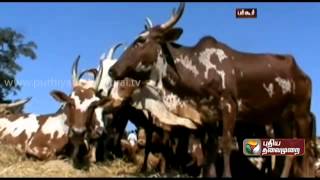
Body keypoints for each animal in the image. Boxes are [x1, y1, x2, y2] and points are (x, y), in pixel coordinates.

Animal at [107, 2, 316, 177]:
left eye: (141, 41)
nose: (112, 70)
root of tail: (302, 73)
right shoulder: (208, 116)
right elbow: (210, 150)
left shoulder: (229, 106)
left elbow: (226, 144)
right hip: (282, 119)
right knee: (289, 151)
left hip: (302, 114)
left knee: (306, 149)